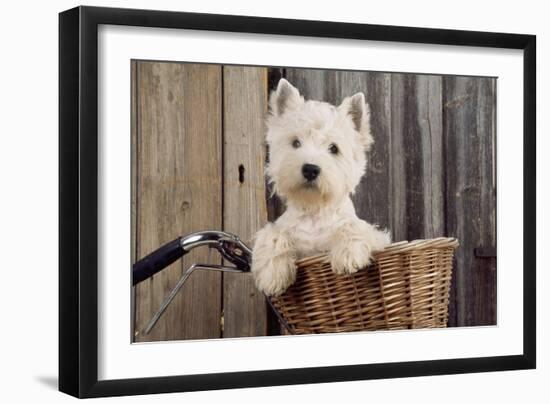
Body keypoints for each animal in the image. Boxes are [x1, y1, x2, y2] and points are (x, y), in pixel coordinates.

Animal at [252, 79, 390, 296]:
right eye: (296, 143)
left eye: (334, 148)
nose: (310, 169)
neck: (314, 211)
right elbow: (273, 234)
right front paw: (272, 275)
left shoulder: (377, 238)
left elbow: (352, 225)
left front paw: (348, 257)